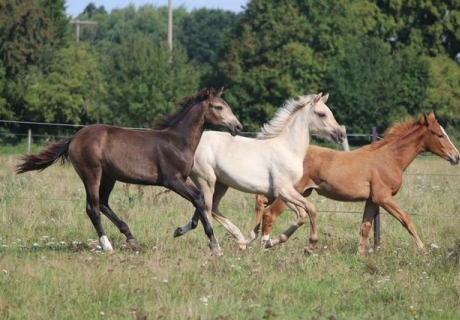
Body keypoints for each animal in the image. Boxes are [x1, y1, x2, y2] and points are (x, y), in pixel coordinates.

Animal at [15, 86, 243, 254]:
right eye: (218, 107)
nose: (238, 127)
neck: (177, 141)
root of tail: (74, 137)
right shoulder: (173, 180)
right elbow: (199, 199)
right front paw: (215, 246)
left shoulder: (182, 181)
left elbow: (201, 201)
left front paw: (180, 231)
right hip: (91, 174)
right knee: (93, 208)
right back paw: (107, 246)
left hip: (109, 177)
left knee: (103, 203)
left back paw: (131, 237)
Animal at [173, 92, 344, 255]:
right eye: (321, 114)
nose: (341, 135)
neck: (288, 149)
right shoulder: (284, 190)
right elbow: (311, 208)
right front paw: (310, 245)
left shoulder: (284, 192)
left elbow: (301, 215)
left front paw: (271, 242)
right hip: (206, 181)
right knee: (207, 208)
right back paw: (218, 246)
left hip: (222, 184)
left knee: (211, 207)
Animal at [250, 111, 458, 254]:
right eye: (439, 134)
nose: (456, 156)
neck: (390, 159)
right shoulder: (384, 198)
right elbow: (406, 220)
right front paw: (423, 250)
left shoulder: (372, 200)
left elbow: (365, 227)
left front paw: (360, 254)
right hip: (290, 192)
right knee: (270, 215)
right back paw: (268, 245)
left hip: (285, 191)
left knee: (260, 201)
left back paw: (252, 238)